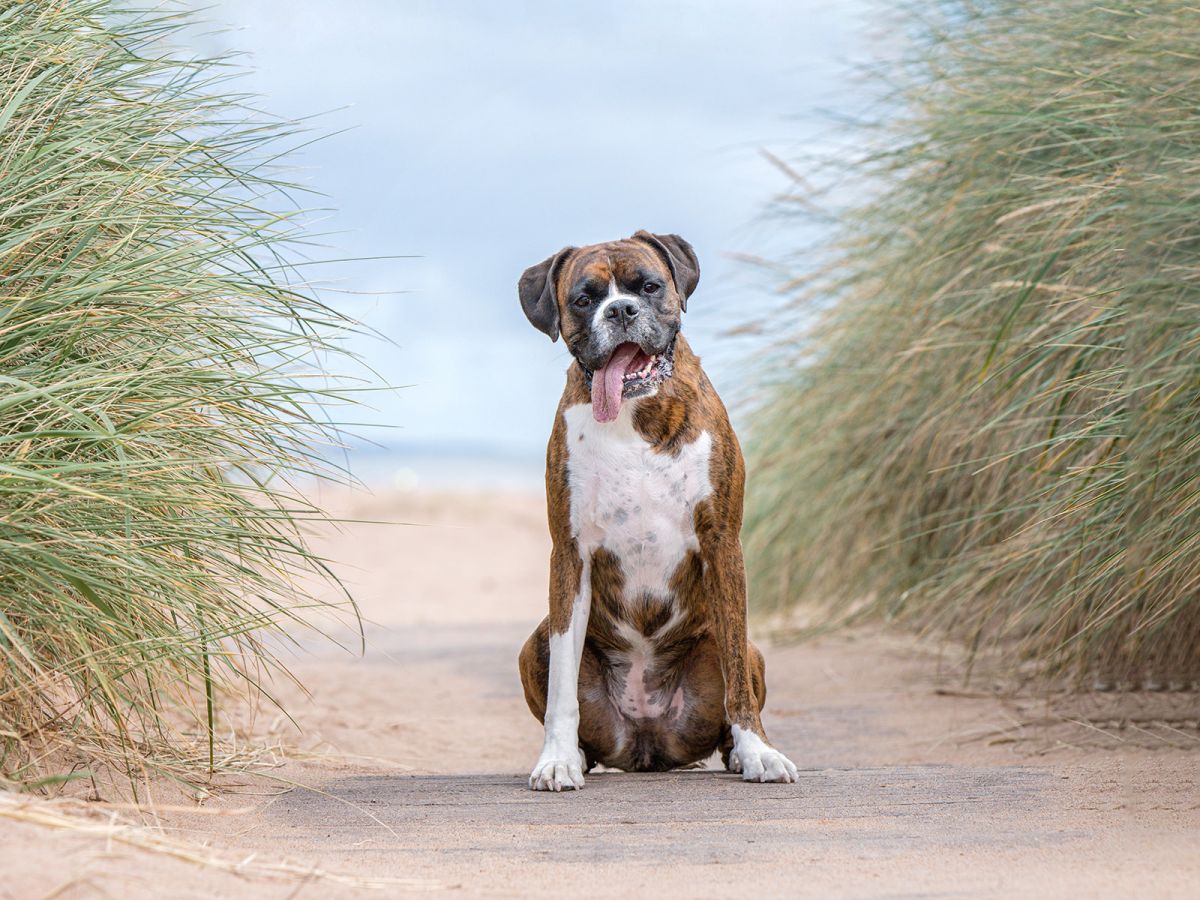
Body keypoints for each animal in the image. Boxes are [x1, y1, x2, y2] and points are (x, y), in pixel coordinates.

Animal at [516, 229, 796, 792]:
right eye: (584, 299)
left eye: (648, 287)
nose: (621, 310)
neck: (633, 414)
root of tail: (647, 743)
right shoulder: (570, 554)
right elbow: (561, 690)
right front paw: (556, 759)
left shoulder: (722, 541)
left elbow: (738, 679)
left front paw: (758, 752)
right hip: (533, 643)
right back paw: (579, 755)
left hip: (744, 648)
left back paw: (739, 753)